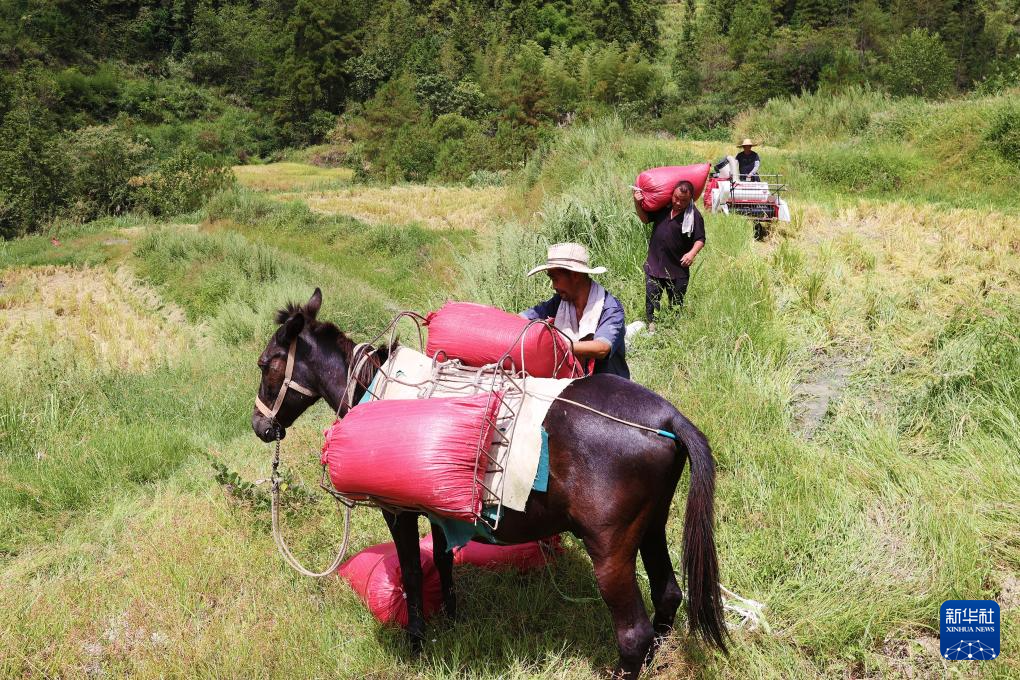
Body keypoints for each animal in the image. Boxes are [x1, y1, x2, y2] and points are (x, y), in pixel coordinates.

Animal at [251, 289, 730, 676]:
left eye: (265, 363)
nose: (259, 425)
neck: (375, 389)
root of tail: (667, 419)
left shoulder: (398, 511)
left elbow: (411, 572)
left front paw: (417, 644)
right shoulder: (438, 511)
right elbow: (443, 561)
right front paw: (451, 617)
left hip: (610, 549)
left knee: (633, 632)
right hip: (651, 527)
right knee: (668, 595)